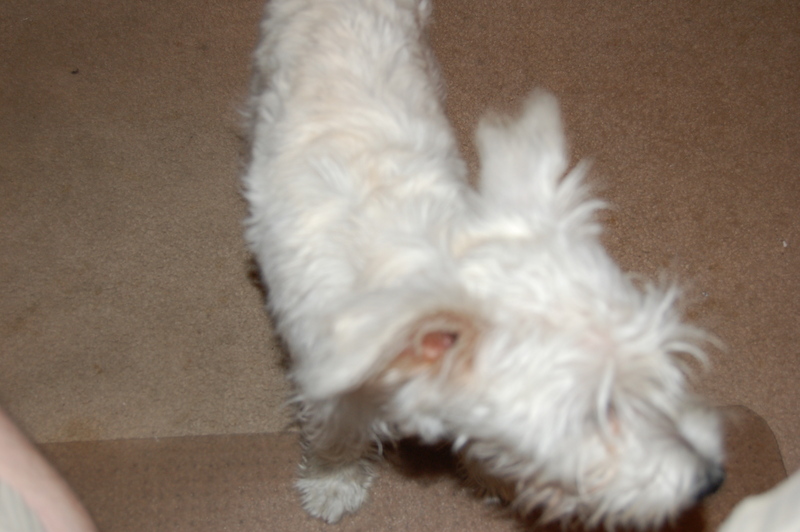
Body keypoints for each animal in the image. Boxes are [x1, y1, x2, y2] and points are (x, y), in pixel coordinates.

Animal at [243, 0, 725, 528]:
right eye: (597, 413)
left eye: (664, 369)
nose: (712, 478)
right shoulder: (331, 396)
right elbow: (335, 441)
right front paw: (332, 484)